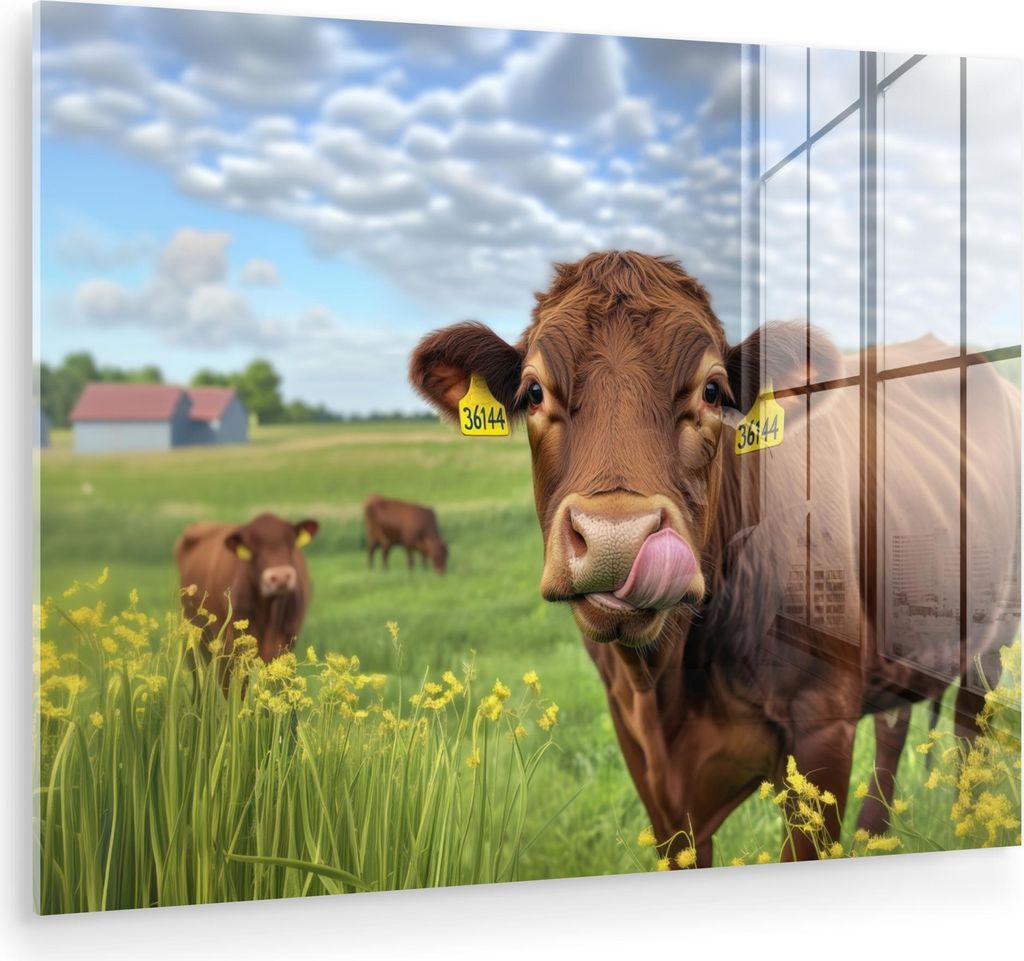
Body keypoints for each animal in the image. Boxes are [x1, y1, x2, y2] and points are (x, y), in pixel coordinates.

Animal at [410, 250, 1020, 865]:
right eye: (534, 392)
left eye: (712, 390)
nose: (616, 539)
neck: (670, 680)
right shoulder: (641, 748)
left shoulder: (822, 726)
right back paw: (877, 835)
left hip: (993, 638)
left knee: (969, 730)